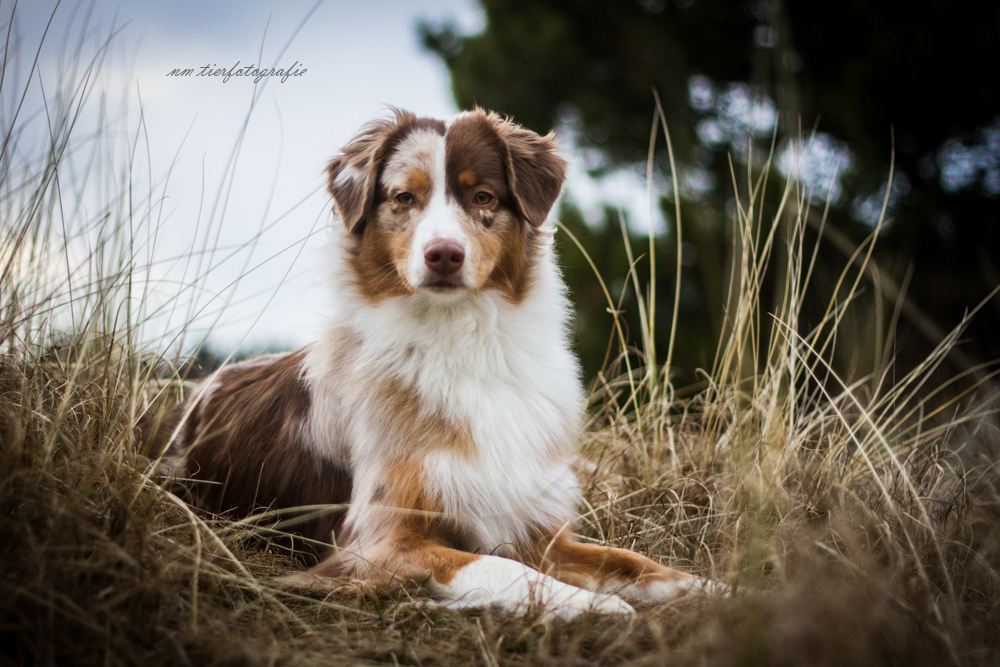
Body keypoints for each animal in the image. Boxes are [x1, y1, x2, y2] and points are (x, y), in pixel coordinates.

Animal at [148, 107, 724, 620]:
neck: (462, 338)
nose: (443, 254)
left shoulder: (534, 524)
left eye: (482, 197)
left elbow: (630, 561)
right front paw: (594, 605)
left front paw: (711, 590)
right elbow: (501, 567)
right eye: (405, 198)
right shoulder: (378, 542)